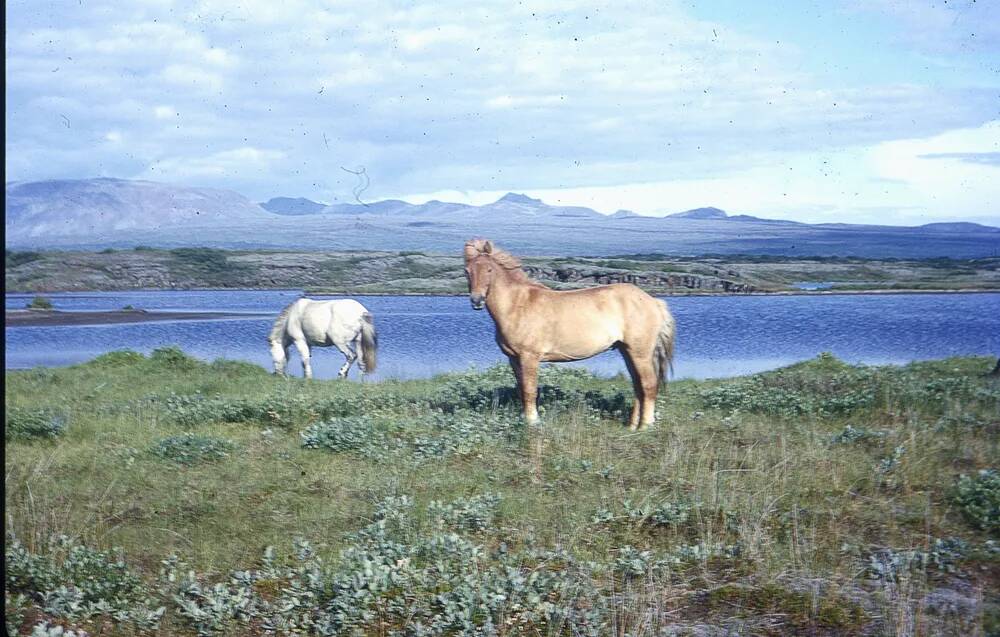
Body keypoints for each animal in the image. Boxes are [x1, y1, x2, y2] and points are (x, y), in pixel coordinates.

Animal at [464, 240, 676, 432]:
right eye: (467, 271)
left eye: (489, 269)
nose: (477, 301)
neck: (517, 305)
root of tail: (654, 302)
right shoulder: (514, 359)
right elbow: (521, 389)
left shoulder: (529, 357)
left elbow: (530, 390)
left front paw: (533, 422)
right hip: (627, 351)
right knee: (638, 386)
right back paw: (632, 426)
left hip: (640, 353)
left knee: (648, 385)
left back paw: (646, 426)